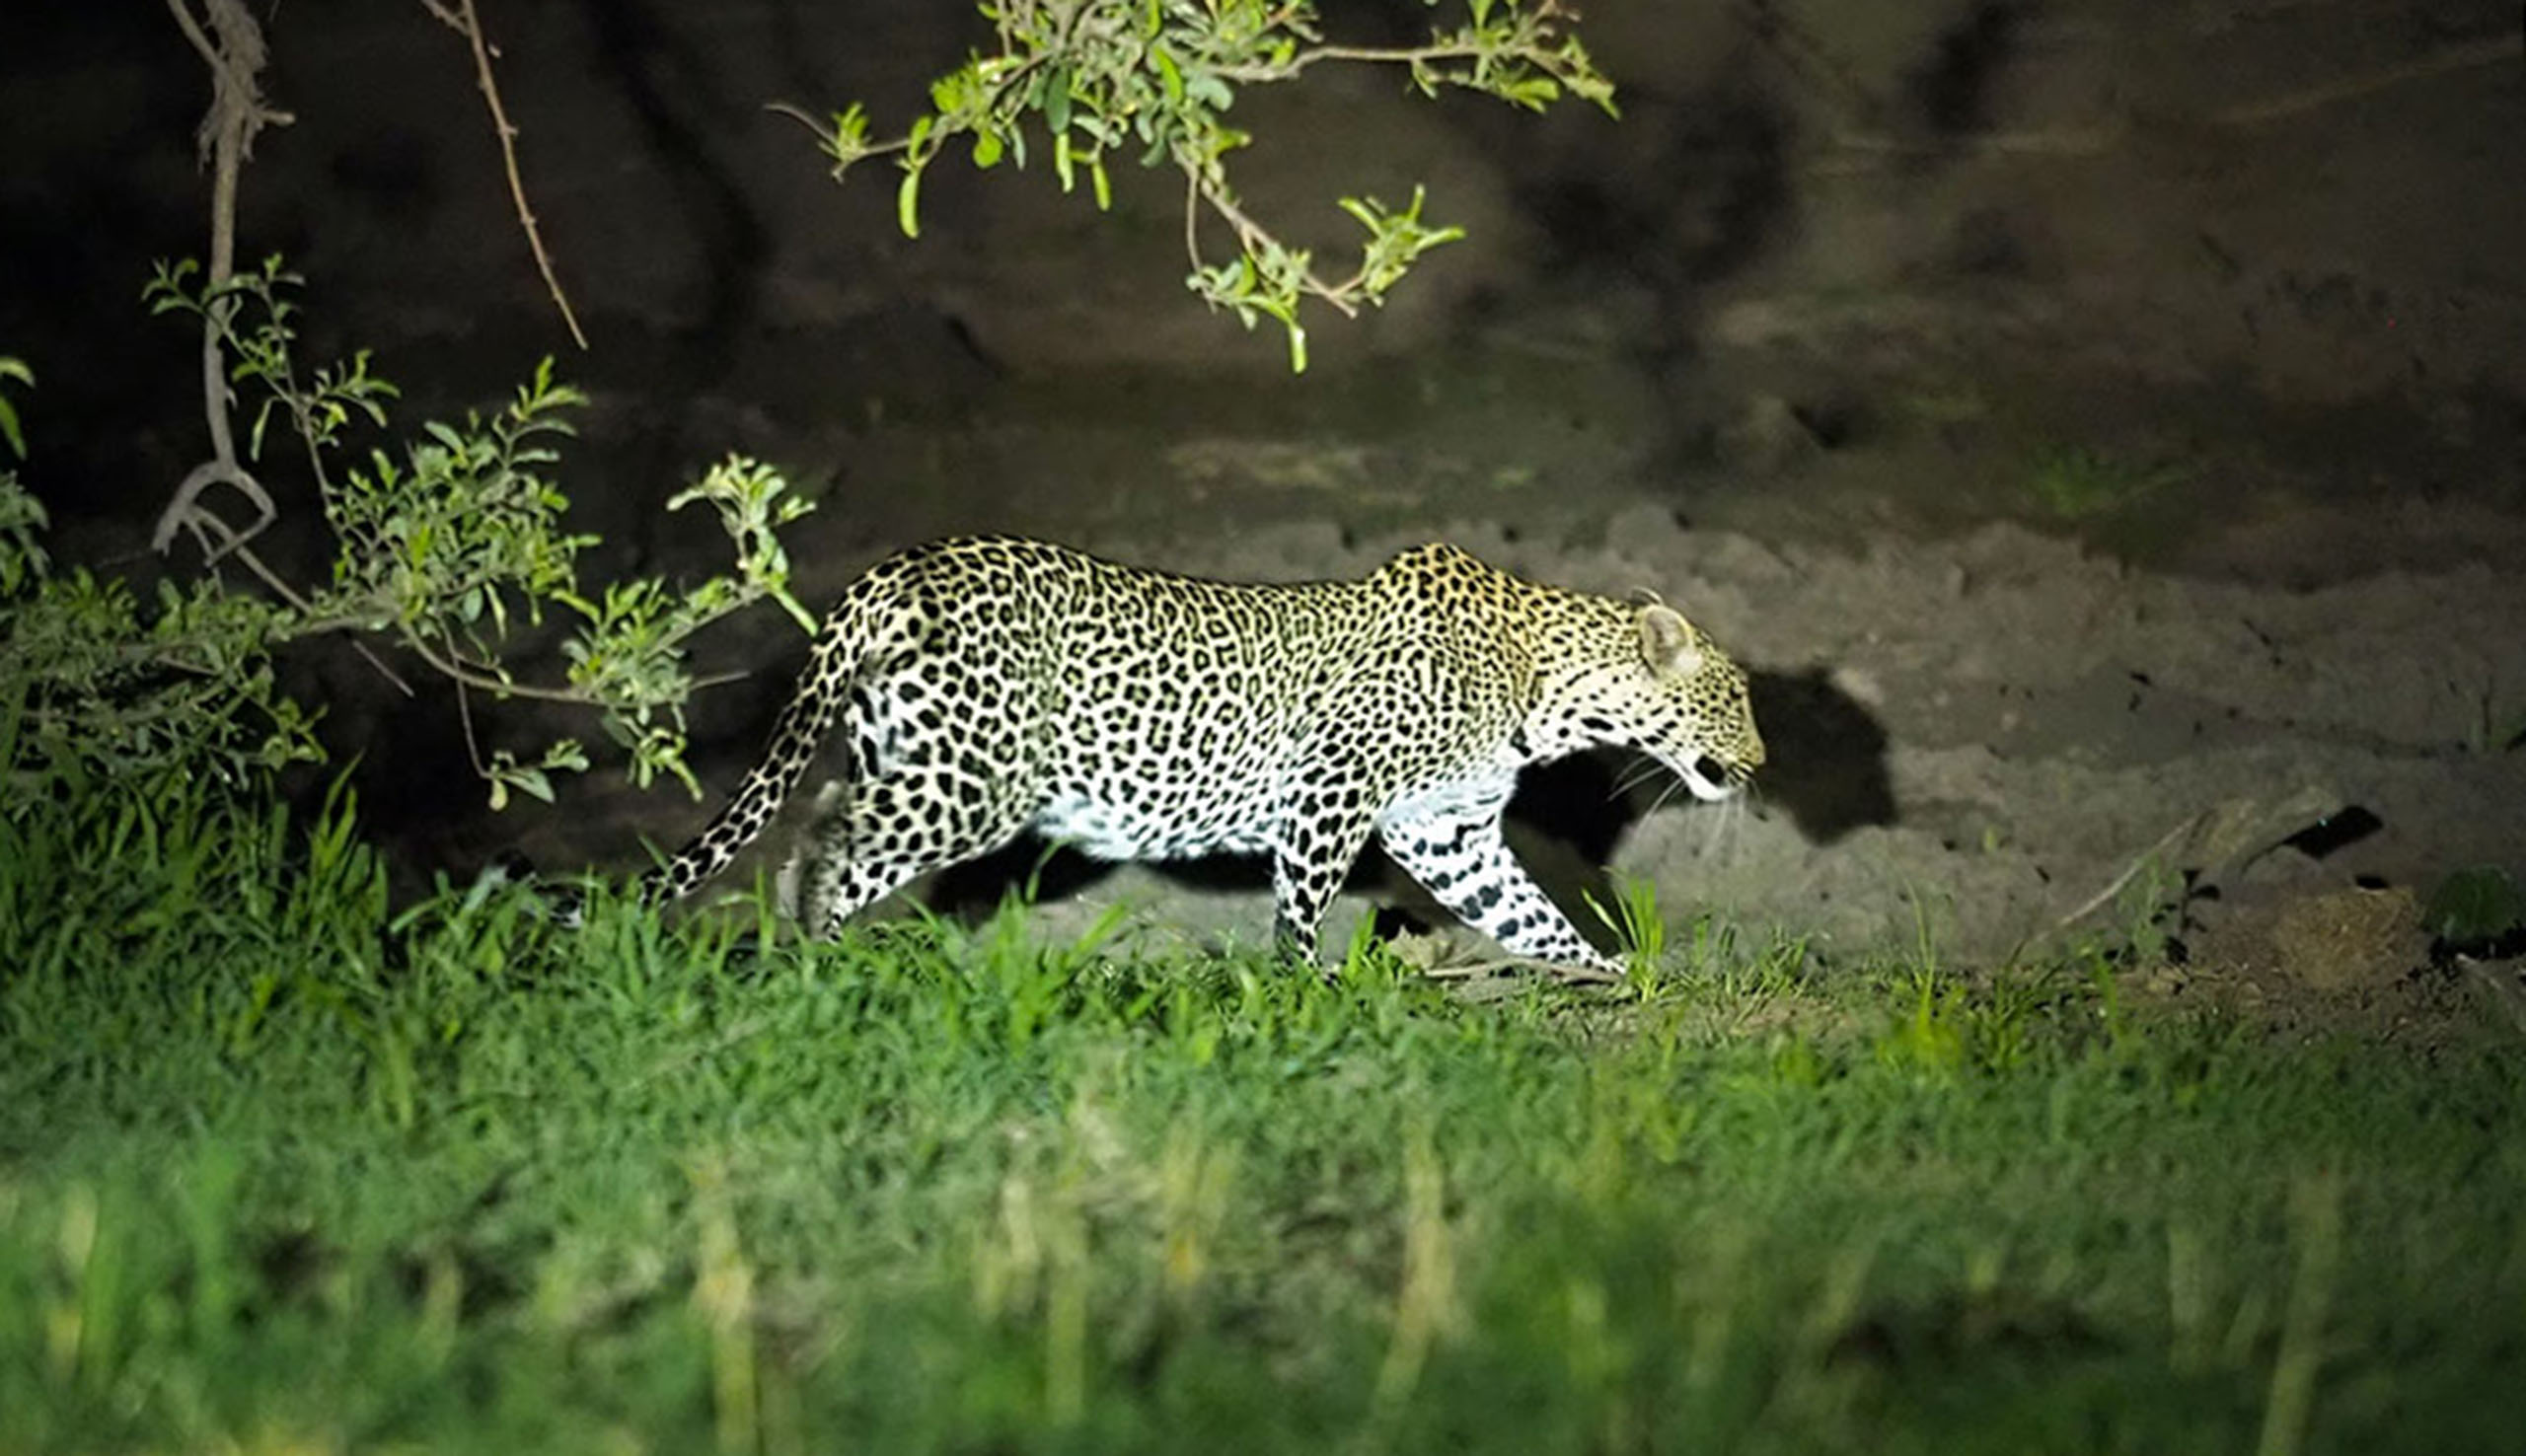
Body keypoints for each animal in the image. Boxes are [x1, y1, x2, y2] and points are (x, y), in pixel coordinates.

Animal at [593, 535, 1763, 972]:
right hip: (973, 783)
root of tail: (898, 568)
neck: (1549, 689)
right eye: (1735, 697)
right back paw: (825, 958)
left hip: (910, 750)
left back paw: (814, 956)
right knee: (827, 837)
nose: (1758, 764)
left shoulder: (1449, 833)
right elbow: (1300, 909)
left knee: (823, 820)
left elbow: (1531, 912)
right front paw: (1302, 990)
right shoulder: (1332, 794)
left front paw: (1613, 977)